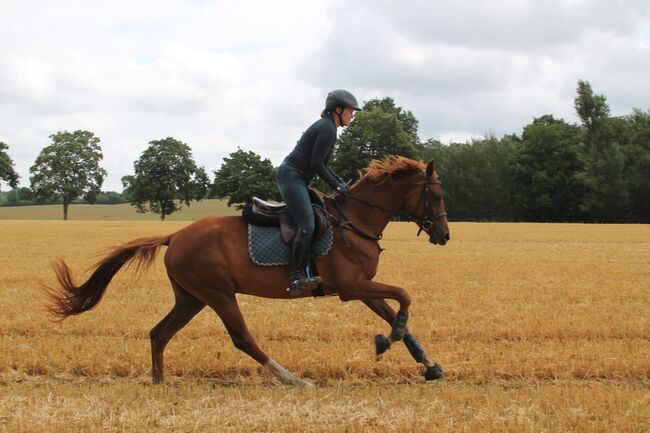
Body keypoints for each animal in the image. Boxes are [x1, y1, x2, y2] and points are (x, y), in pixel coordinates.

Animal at [47, 156, 450, 386]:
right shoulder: (352, 287)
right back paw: (293, 380)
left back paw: (159, 382)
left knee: (159, 333)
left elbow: (397, 313)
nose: (445, 236)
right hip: (218, 293)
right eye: (436, 195)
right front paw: (387, 340)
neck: (355, 220)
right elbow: (403, 297)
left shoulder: (363, 286)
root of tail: (174, 235)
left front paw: (428, 364)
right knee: (242, 338)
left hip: (191, 297)